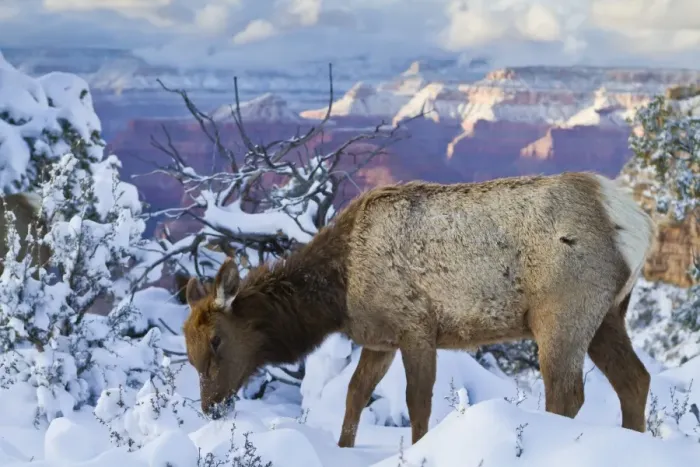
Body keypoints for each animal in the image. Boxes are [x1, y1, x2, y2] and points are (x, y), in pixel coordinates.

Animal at [182, 171, 656, 448]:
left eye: (217, 341)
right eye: (189, 352)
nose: (211, 408)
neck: (339, 291)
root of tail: (638, 224)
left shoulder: (415, 326)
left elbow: (417, 402)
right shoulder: (380, 339)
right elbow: (354, 395)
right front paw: (343, 448)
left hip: (562, 310)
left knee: (566, 394)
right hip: (609, 314)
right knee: (635, 380)